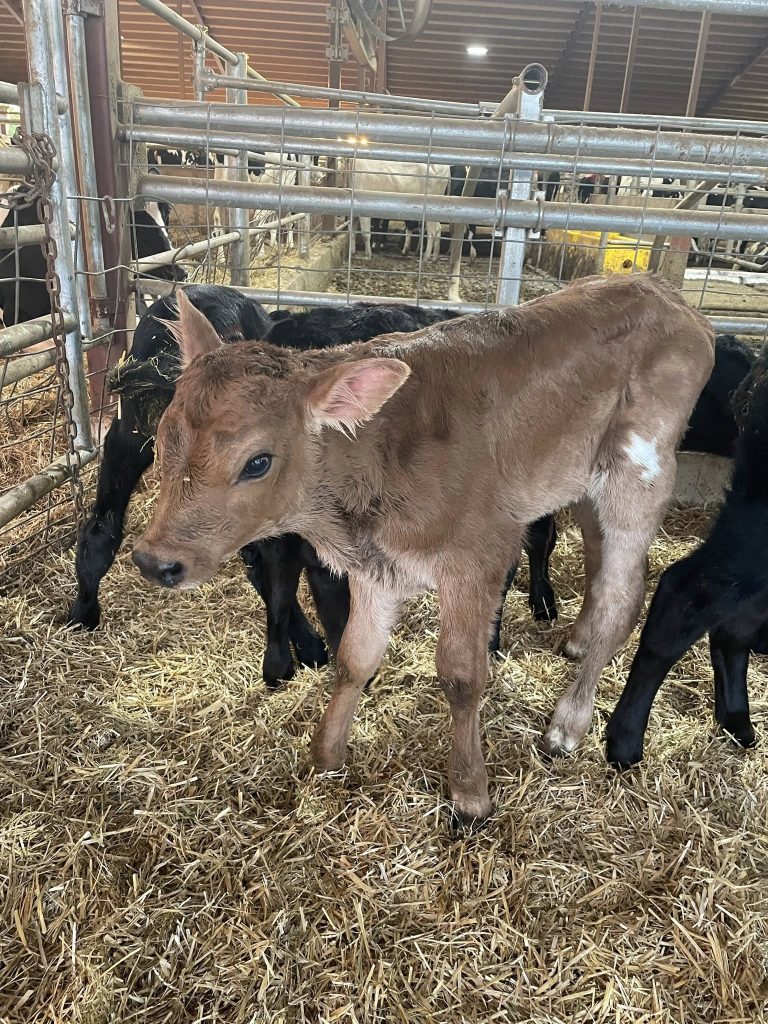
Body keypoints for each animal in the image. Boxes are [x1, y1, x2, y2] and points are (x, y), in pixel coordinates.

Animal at [131, 274, 715, 828]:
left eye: (257, 462)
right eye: (163, 436)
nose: (155, 560)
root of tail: (669, 299)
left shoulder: (479, 557)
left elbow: (461, 675)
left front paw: (470, 794)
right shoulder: (375, 569)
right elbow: (354, 658)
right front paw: (326, 755)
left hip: (639, 473)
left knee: (624, 595)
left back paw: (568, 722)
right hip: (585, 482)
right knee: (599, 563)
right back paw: (577, 641)